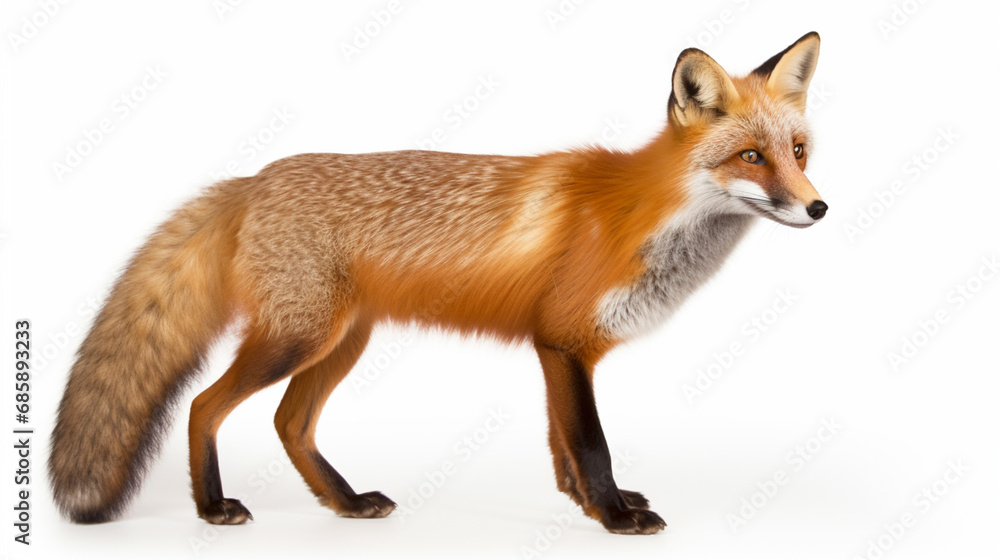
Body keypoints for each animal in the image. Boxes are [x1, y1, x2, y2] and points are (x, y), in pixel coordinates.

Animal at [47, 32, 824, 536]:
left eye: (799, 151)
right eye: (751, 157)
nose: (818, 208)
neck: (642, 214)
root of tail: (253, 179)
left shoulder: (557, 349)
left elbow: (561, 448)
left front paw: (585, 506)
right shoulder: (564, 341)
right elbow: (590, 442)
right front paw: (613, 516)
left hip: (340, 342)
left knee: (289, 424)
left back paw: (347, 504)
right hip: (296, 339)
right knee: (204, 407)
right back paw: (212, 509)